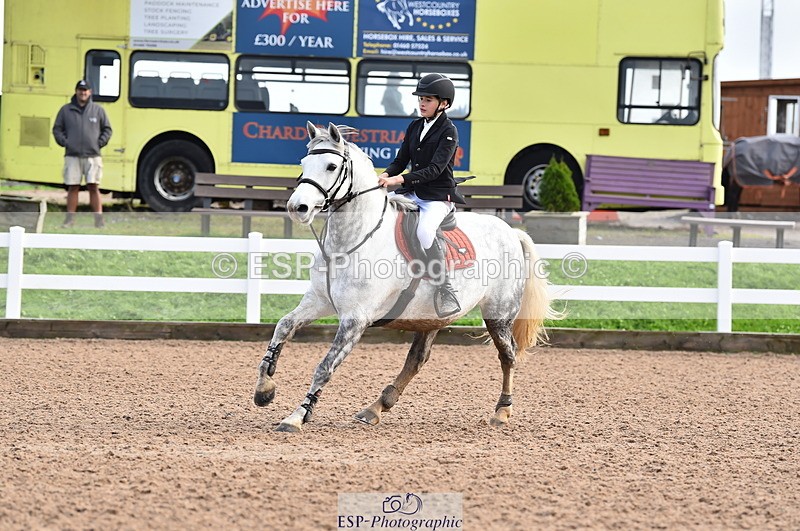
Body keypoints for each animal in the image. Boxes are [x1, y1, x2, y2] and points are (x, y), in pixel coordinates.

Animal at [253, 122, 557, 432]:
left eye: (331, 166)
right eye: (304, 163)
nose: (297, 208)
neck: (351, 241)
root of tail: (511, 232)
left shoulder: (355, 319)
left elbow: (324, 367)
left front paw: (297, 416)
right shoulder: (318, 302)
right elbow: (283, 327)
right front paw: (264, 389)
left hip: (498, 314)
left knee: (507, 355)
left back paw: (502, 411)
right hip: (430, 318)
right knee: (417, 360)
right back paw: (375, 408)